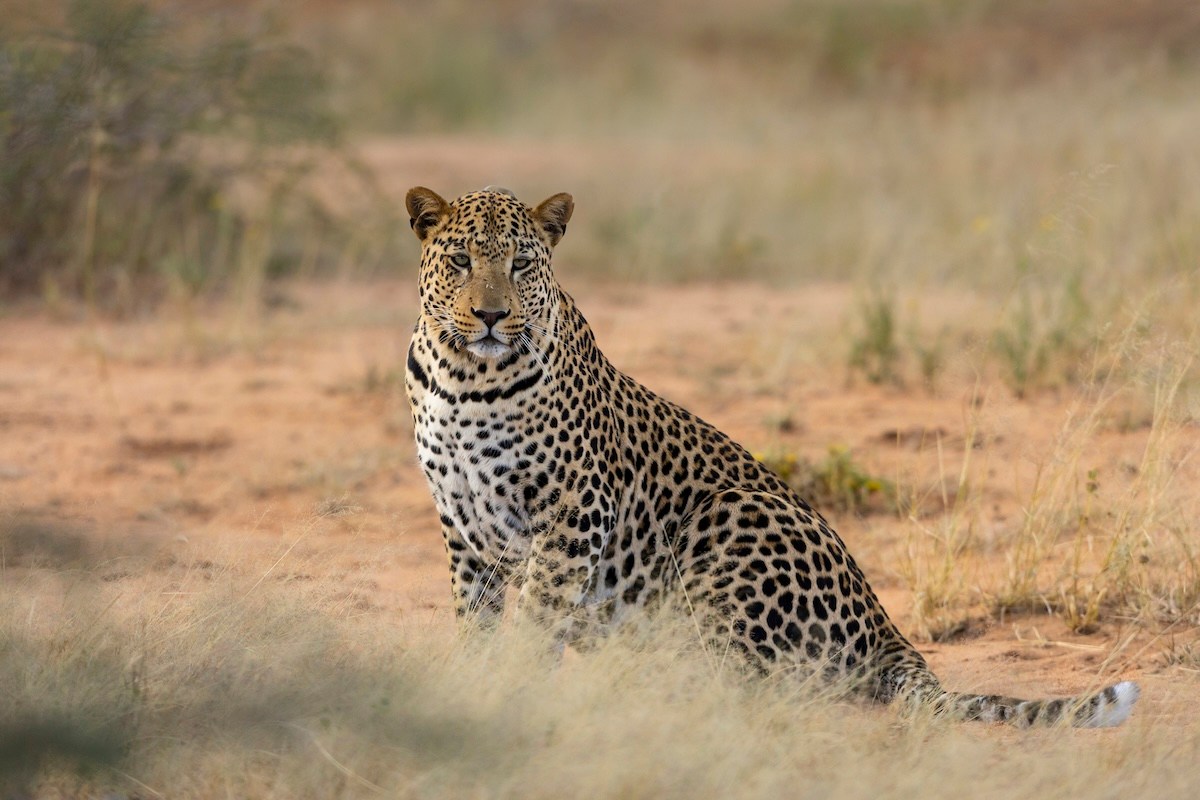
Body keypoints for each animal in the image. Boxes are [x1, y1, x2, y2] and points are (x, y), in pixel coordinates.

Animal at [402, 185, 1139, 727]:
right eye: (461, 260)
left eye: (521, 265)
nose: (491, 315)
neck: (465, 379)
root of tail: (888, 628)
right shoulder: (462, 521)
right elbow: (476, 616)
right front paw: (471, 683)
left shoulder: (573, 509)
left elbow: (535, 616)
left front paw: (511, 690)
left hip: (732, 513)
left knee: (761, 681)